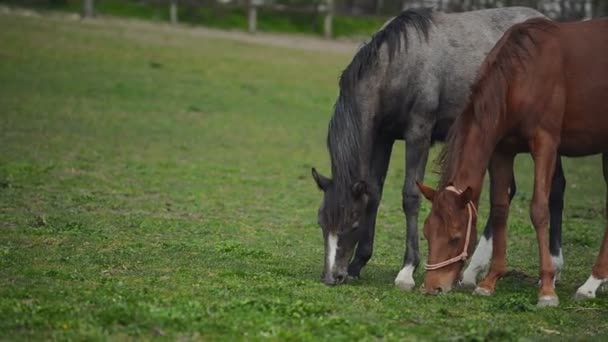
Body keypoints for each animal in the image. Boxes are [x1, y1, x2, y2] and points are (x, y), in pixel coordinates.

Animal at [312, 6, 568, 288]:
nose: (331, 276)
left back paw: (553, 269)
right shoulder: (383, 137)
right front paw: (359, 262)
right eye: (322, 222)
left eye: (353, 224)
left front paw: (407, 270)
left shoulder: (418, 134)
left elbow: (410, 196)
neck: (398, 65)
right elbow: (374, 192)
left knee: (555, 189)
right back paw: (474, 271)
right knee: (509, 192)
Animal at [418, 18, 608, 308]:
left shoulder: (545, 143)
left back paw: (592, 283)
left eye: (455, 237)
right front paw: (489, 281)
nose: (432, 287)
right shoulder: (502, 151)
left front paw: (547, 289)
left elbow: (539, 210)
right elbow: (499, 210)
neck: (522, 76)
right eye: (427, 233)